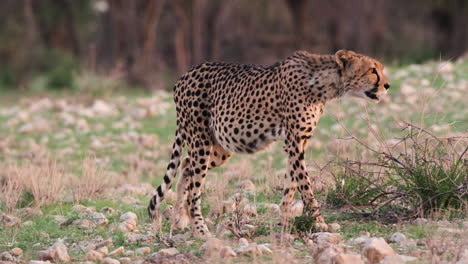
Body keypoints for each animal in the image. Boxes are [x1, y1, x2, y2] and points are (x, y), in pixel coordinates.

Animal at [148, 49, 390, 237]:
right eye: (372, 70)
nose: (387, 85)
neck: (323, 83)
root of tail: (186, 73)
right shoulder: (294, 141)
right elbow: (305, 184)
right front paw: (319, 222)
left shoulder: (299, 141)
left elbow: (291, 183)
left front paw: (284, 220)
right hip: (201, 139)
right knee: (195, 185)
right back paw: (199, 229)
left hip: (220, 146)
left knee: (186, 165)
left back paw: (181, 220)